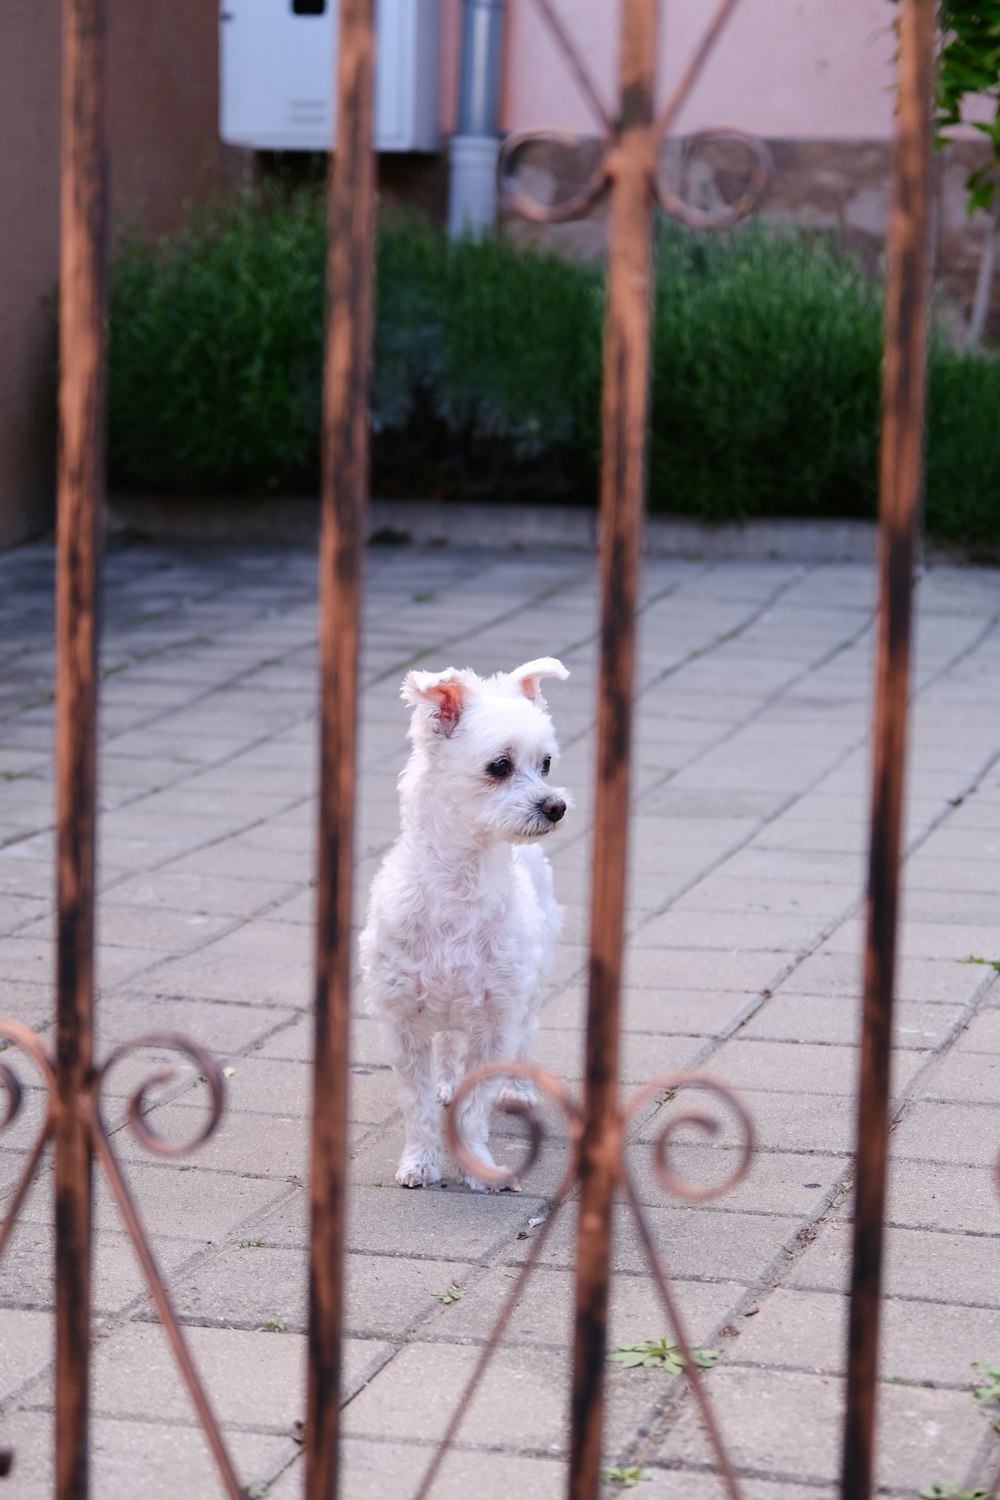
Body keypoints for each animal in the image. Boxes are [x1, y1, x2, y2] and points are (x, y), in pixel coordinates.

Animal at [361, 657, 569, 1194]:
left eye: (546, 764)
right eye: (500, 766)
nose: (555, 805)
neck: (460, 883)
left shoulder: (497, 1020)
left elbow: (477, 1104)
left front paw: (479, 1166)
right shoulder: (403, 1024)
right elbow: (416, 1105)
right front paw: (421, 1162)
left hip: (531, 985)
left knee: (527, 1033)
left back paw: (518, 1088)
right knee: (451, 1045)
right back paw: (448, 1080)